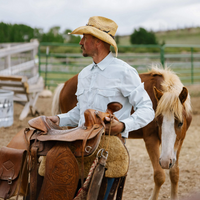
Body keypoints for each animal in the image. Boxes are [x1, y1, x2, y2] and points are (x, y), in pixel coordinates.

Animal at [51, 67, 192, 200]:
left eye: (180, 123)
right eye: (157, 121)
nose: (165, 161)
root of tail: (65, 84)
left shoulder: (180, 141)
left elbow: (174, 174)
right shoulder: (151, 140)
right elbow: (159, 175)